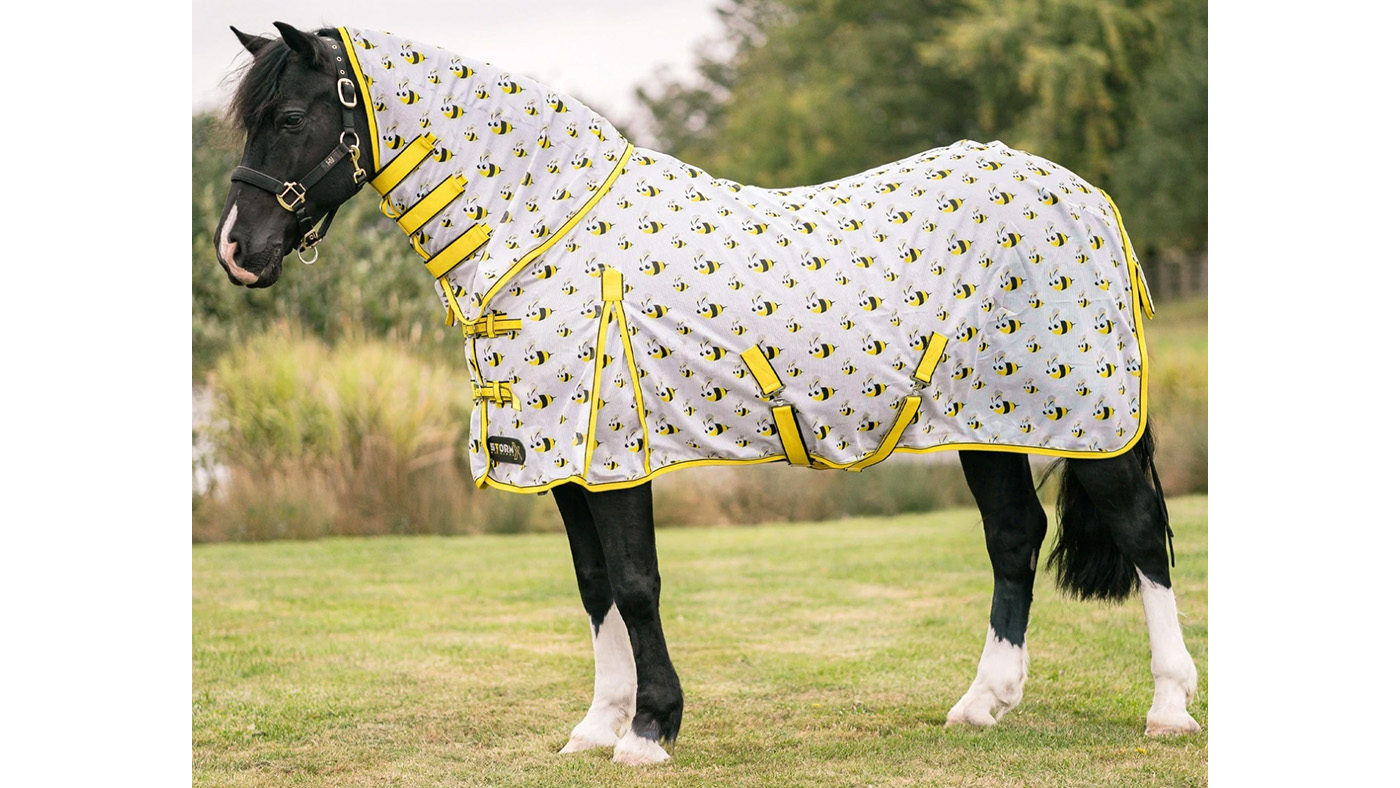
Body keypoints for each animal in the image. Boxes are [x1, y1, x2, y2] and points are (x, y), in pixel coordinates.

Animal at [211, 22, 1200, 765]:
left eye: (291, 115)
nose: (237, 250)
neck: (550, 233)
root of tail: (1086, 194)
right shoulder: (564, 460)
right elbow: (593, 587)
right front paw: (597, 726)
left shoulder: (616, 453)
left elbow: (636, 583)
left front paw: (650, 732)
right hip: (985, 424)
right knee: (1014, 536)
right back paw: (982, 705)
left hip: (1092, 419)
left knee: (1141, 532)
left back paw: (1168, 709)